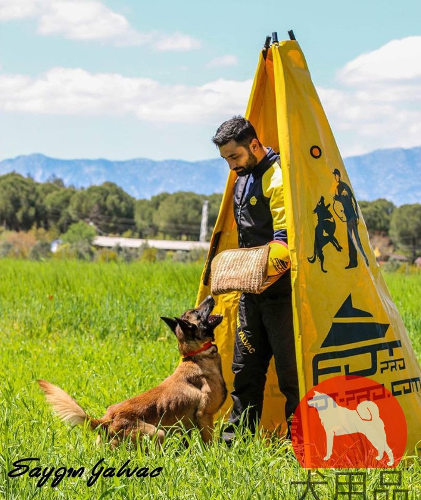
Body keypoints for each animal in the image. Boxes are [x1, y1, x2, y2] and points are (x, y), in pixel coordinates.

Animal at [38, 294, 228, 448]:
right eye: (197, 312)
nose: (210, 296)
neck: (196, 355)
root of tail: (106, 421)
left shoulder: (186, 427)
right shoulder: (204, 416)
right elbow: (209, 444)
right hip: (157, 433)